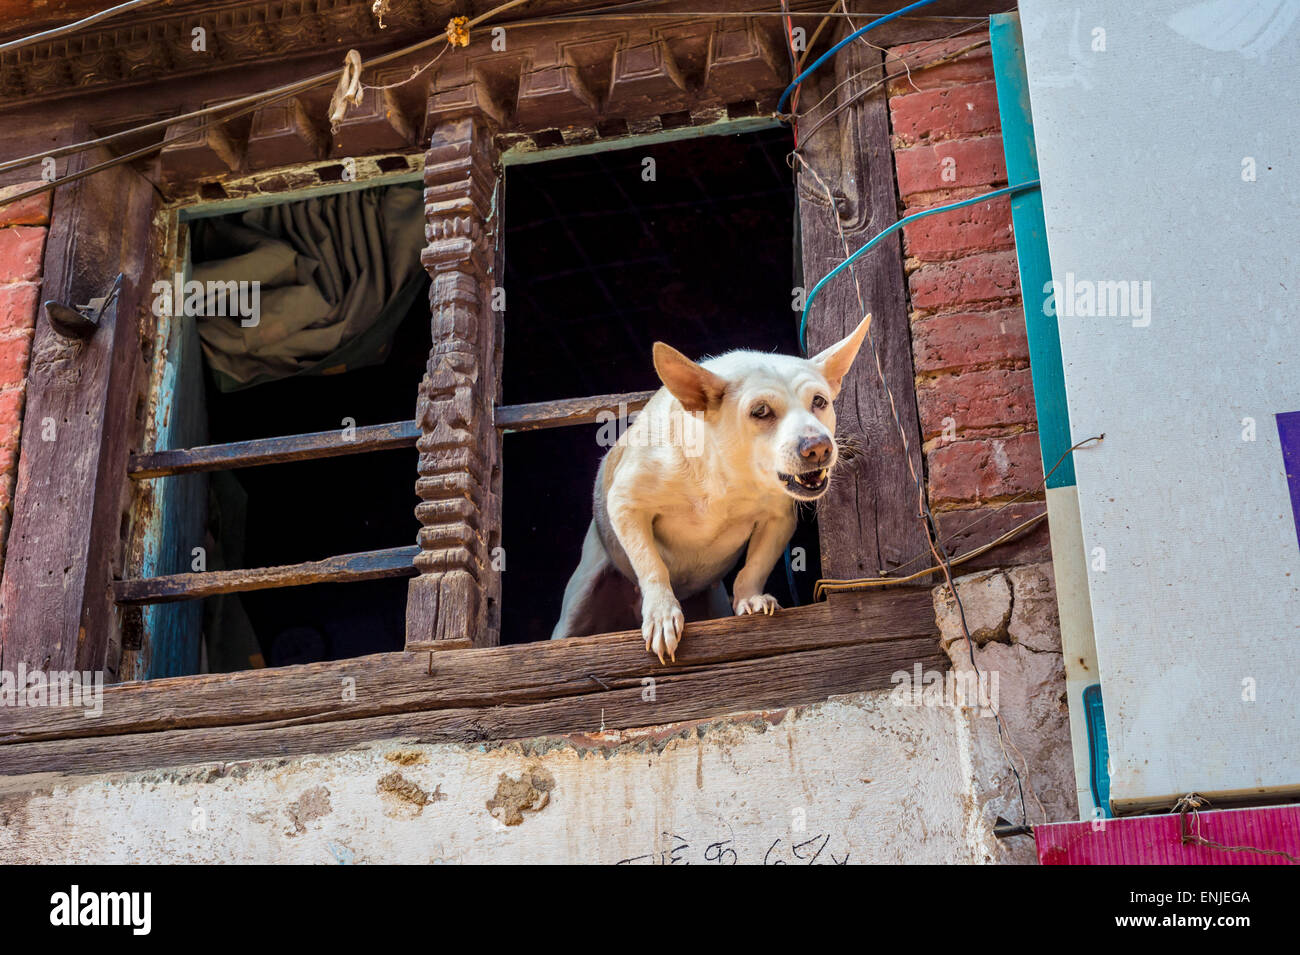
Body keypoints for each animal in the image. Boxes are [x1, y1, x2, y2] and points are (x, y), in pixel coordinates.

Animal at [551, 317, 873, 660]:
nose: (818, 447)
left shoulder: (780, 519)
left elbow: (755, 566)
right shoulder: (625, 503)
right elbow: (651, 565)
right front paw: (662, 614)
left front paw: (751, 599)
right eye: (760, 411)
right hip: (577, 602)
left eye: (819, 401)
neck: (728, 479)